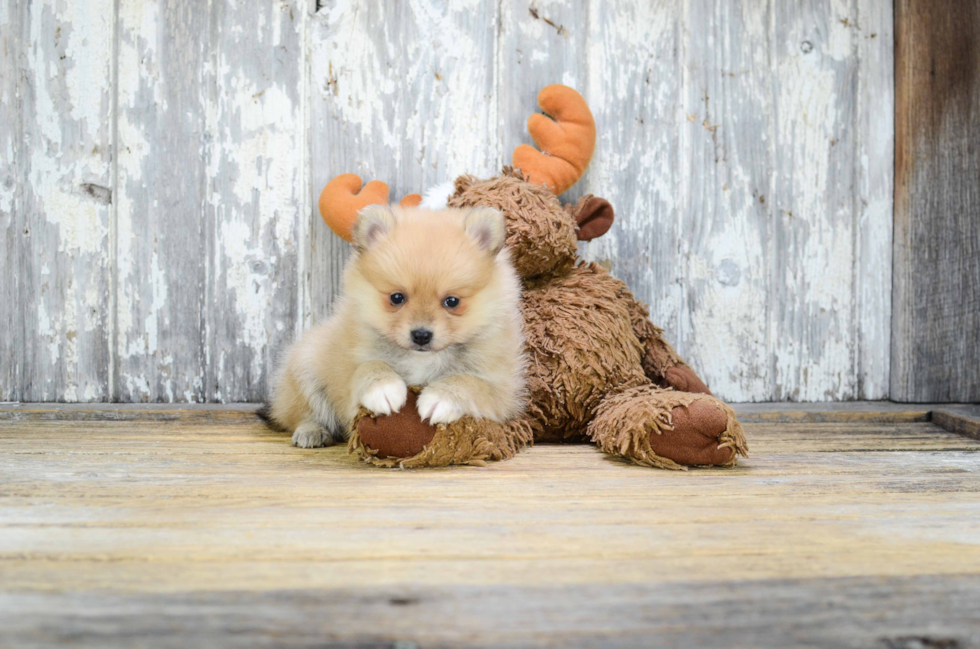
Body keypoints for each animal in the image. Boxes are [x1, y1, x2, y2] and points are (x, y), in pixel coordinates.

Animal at [258, 202, 520, 446]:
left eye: (452, 301)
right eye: (396, 298)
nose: (421, 335)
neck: (421, 358)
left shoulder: (503, 390)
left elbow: (469, 382)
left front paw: (441, 398)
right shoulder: (351, 366)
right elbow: (368, 367)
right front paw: (383, 388)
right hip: (305, 365)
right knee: (300, 413)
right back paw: (312, 432)